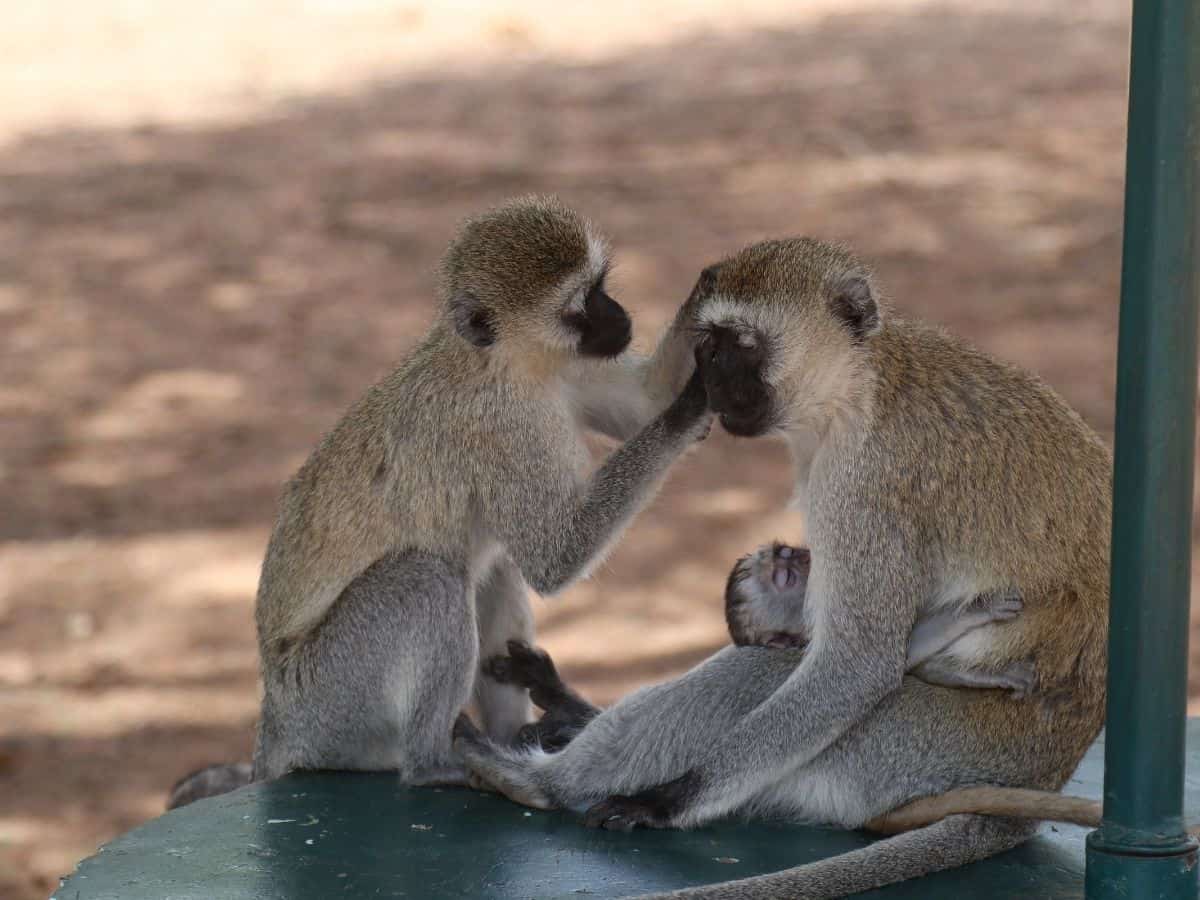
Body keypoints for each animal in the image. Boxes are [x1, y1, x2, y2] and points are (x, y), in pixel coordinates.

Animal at [165, 196, 712, 810]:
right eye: (580, 307)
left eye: (601, 286)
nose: (619, 316)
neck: (507, 363)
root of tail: (275, 722)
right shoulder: (504, 427)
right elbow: (555, 557)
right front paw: (692, 403)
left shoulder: (572, 370)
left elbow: (645, 401)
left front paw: (718, 297)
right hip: (330, 699)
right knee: (427, 580)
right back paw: (438, 764)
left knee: (493, 572)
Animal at [457, 237, 1112, 899]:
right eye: (711, 340)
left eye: (742, 345)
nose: (709, 370)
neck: (858, 388)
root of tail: (1042, 778)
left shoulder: (864, 481)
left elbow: (857, 665)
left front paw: (668, 801)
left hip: (907, 748)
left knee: (753, 672)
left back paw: (537, 782)